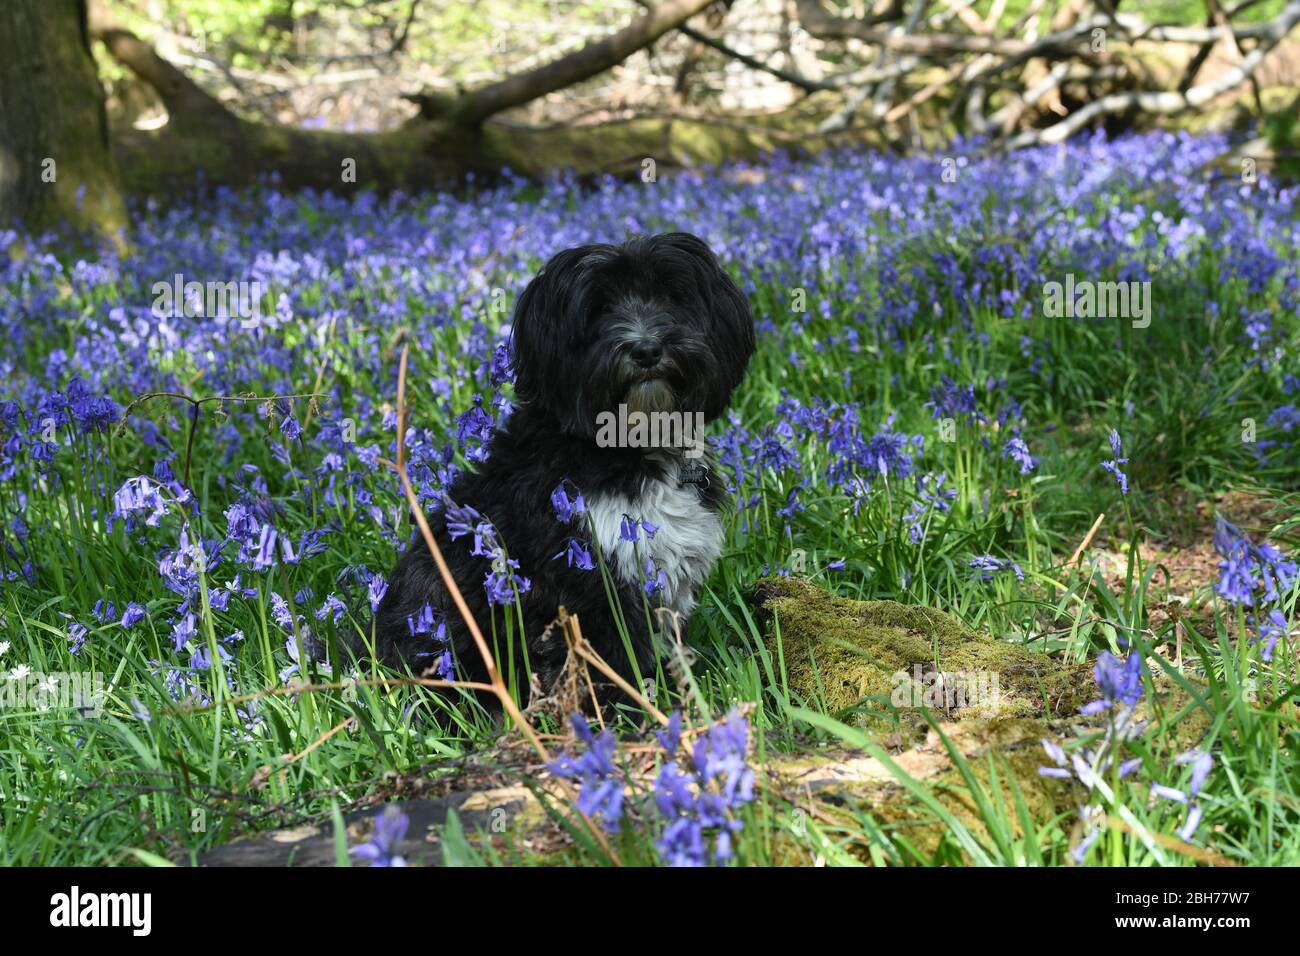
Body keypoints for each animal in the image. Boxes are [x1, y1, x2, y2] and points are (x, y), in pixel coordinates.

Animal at [366, 234, 754, 702]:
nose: (646, 349)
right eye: (598, 309)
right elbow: (610, 663)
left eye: (670, 296)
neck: (630, 446)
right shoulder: (585, 586)